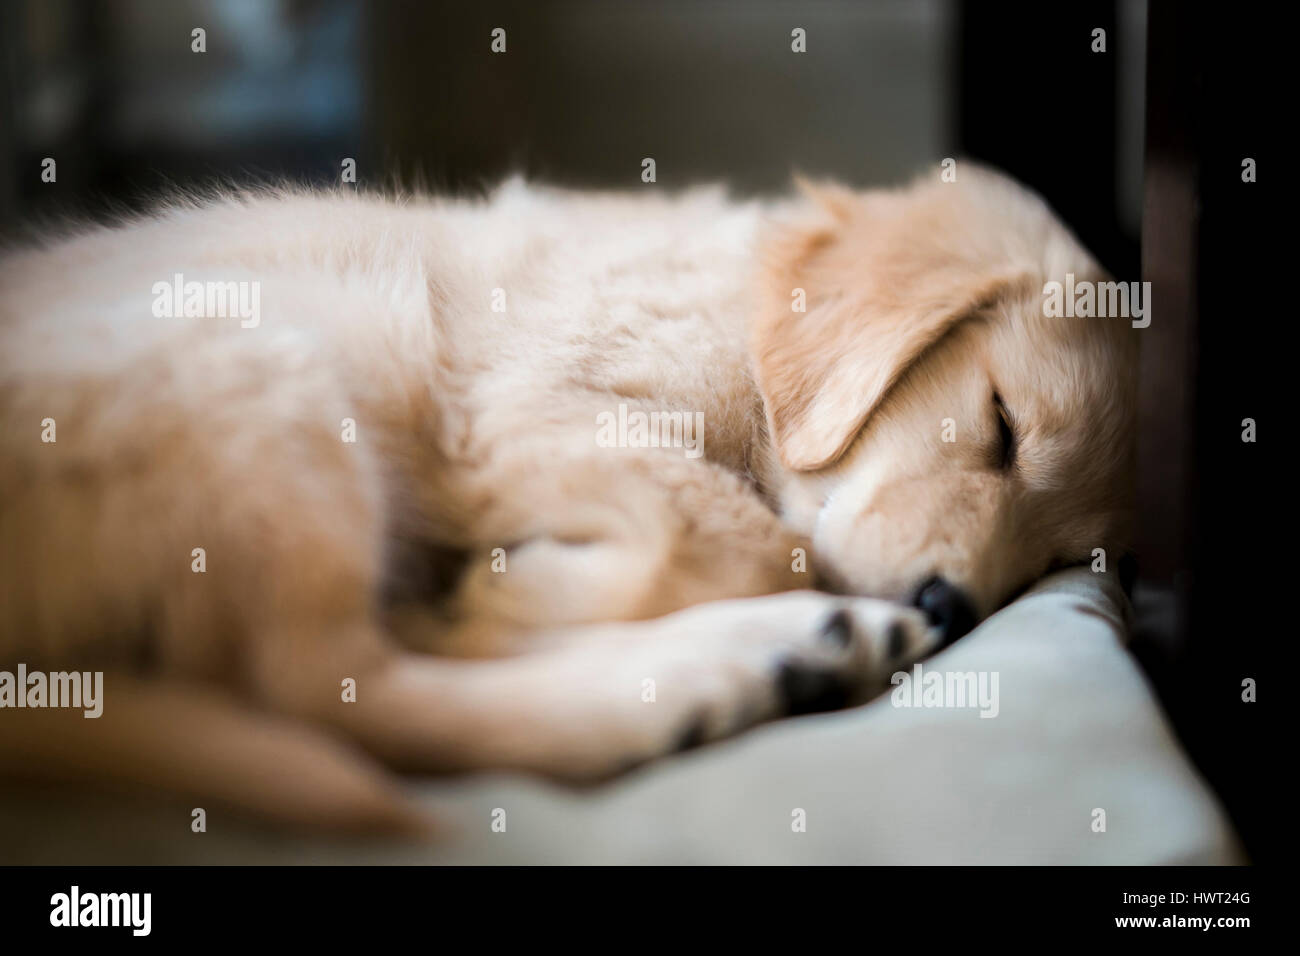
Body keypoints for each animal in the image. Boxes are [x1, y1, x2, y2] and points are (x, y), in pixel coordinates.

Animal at [0, 164, 1138, 832]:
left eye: (1059, 559)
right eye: (1001, 425)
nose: (951, 607)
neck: (741, 321)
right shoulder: (530, 404)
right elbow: (746, 535)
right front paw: (508, 590)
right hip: (277, 359)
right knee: (325, 684)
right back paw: (718, 662)